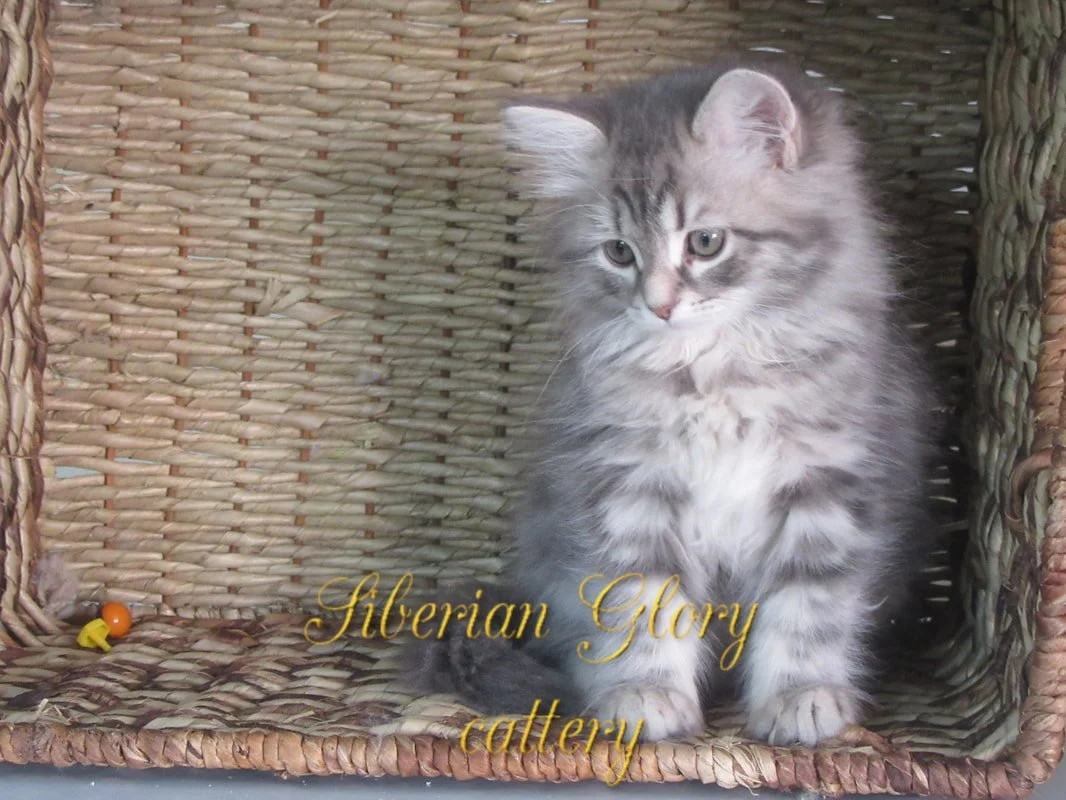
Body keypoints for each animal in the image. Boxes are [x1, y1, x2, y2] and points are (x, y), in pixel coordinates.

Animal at [403, 55, 934, 747]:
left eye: (705, 243)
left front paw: (801, 697)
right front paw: (646, 696)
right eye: (619, 251)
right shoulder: (630, 485)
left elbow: (808, 610)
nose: (658, 305)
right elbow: (643, 605)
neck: (714, 374)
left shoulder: (831, 484)